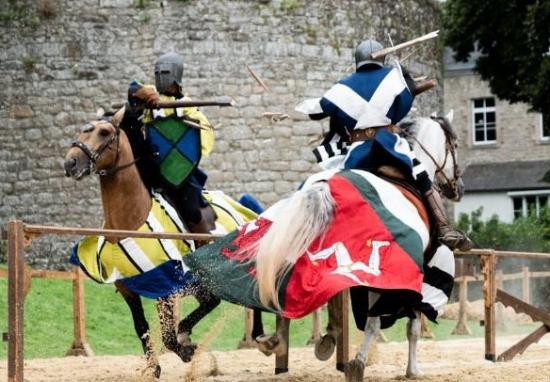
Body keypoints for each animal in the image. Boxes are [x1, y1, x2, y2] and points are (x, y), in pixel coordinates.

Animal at [63, 115, 260, 378]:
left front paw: (184, 350)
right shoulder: (129, 288)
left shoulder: (163, 287)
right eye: (83, 130)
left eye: (104, 132)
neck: (130, 221)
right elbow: (141, 327)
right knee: (211, 301)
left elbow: (167, 335)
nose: (71, 162)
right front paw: (154, 367)